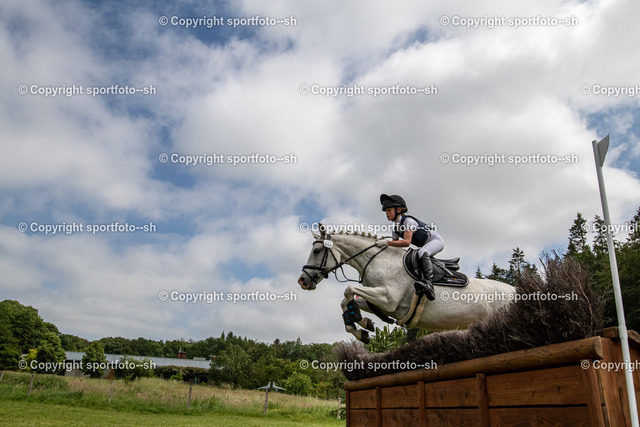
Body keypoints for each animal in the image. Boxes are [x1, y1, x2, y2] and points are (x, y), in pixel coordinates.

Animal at [297, 226, 516, 343]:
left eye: (316, 251)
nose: (302, 281)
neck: (377, 260)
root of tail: (517, 290)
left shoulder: (388, 298)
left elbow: (348, 289)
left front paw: (360, 322)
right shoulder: (380, 300)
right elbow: (346, 302)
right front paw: (362, 327)